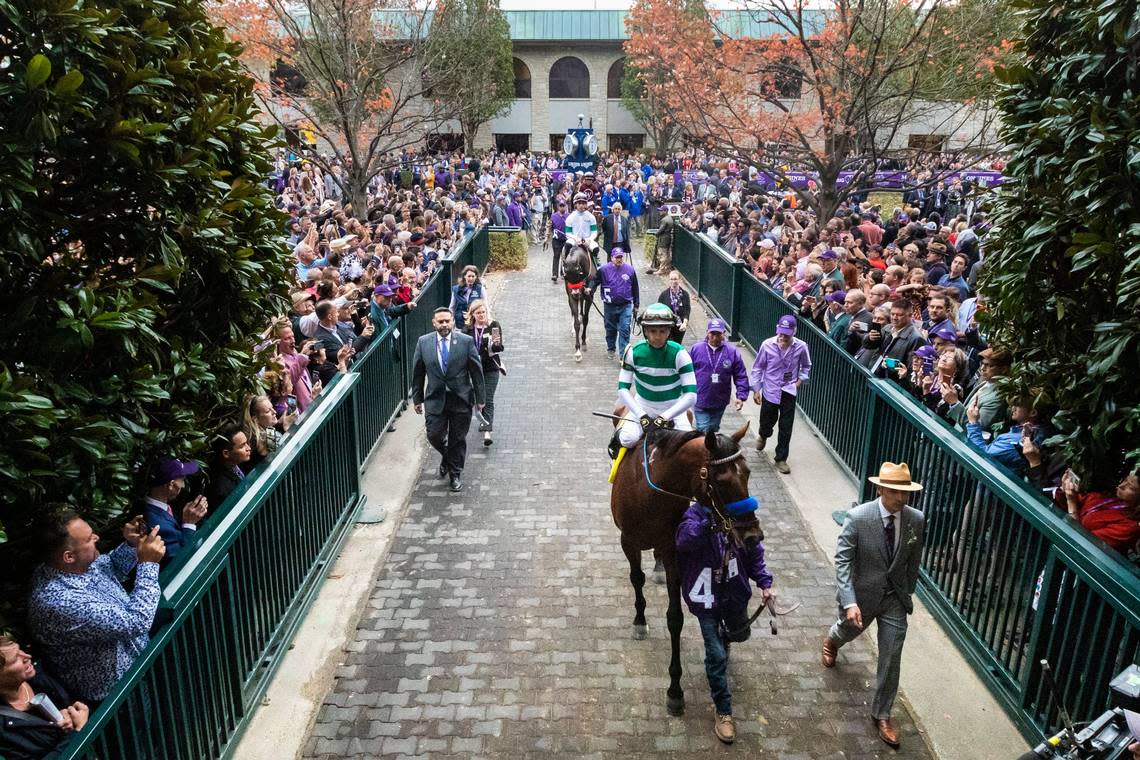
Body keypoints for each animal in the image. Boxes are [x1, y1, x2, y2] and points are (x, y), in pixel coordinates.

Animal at [611, 421, 752, 715]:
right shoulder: (628, 540)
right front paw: (639, 620)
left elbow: (675, 618)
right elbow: (636, 578)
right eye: (722, 481)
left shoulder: (672, 549)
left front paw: (675, 690)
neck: (649, 493)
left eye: (748, 473)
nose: (753, 533)